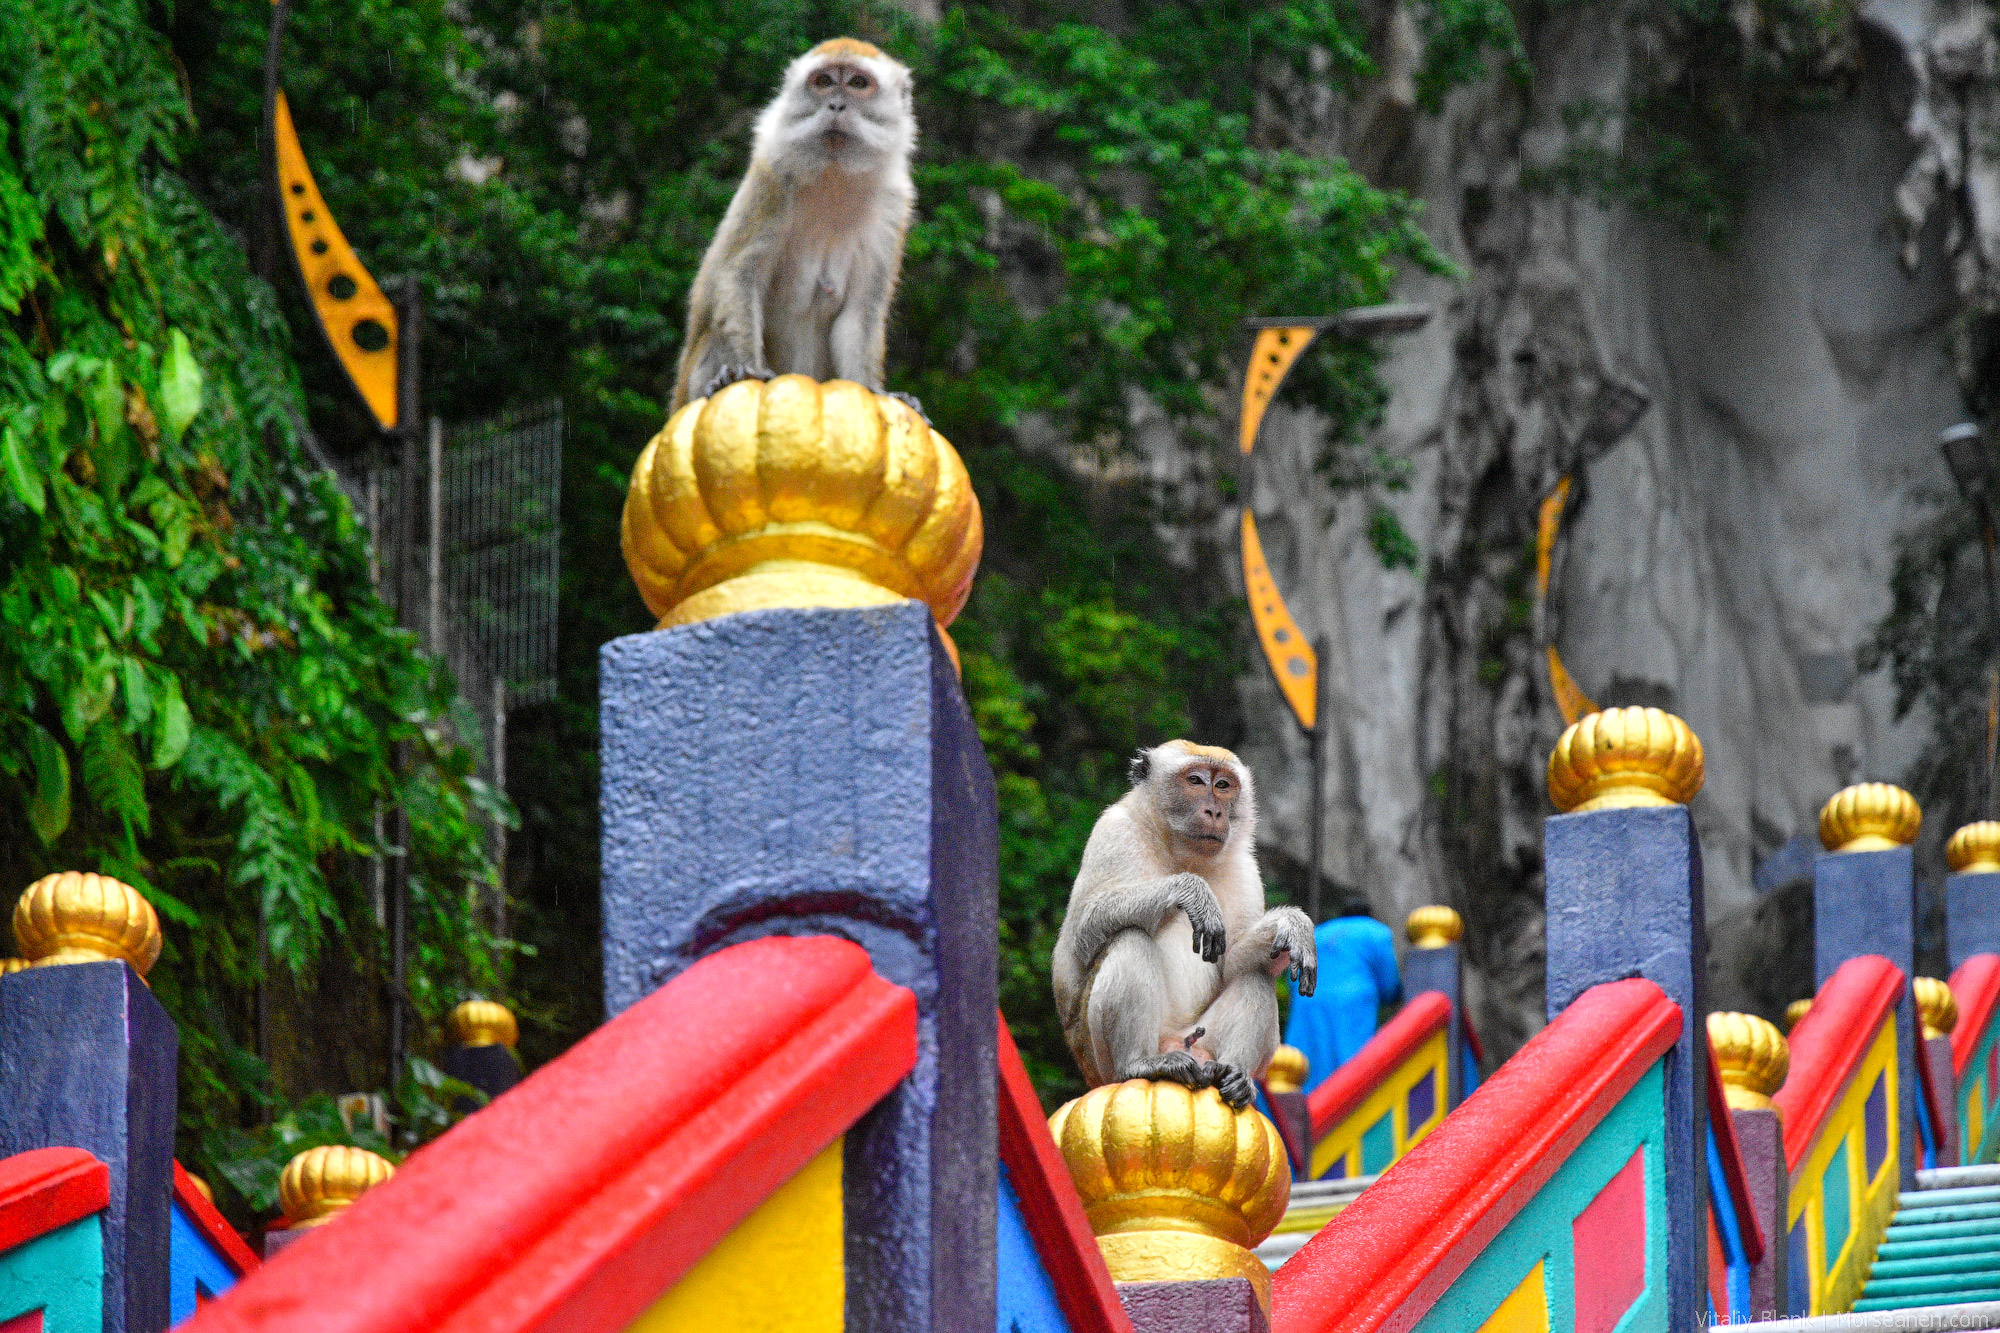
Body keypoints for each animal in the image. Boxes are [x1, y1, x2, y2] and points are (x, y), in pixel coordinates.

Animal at [672, 40, 920, 410]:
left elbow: (858, 313)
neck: (834, 176)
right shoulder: (771, 179)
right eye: (824, 81)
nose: (836, 104)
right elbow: (738, 274)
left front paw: (876, 391)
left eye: (858, 83)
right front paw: (745, 369)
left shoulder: (894, 207)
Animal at [1056, 736, 1320, 1096]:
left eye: (1223, 785)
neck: (1181, 852)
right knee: (1130, 937)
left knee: (1256, 974)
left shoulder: (1246, 869)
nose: (1215, 811)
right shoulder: (1113, 832)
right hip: (1097, 1058)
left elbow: (1230, 963)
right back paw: (1140, 1063)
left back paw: (1233, 1075)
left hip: (1200, 1038)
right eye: (1195, 780)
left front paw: (1292, 926)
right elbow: (1079, 942)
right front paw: (1192, 892)